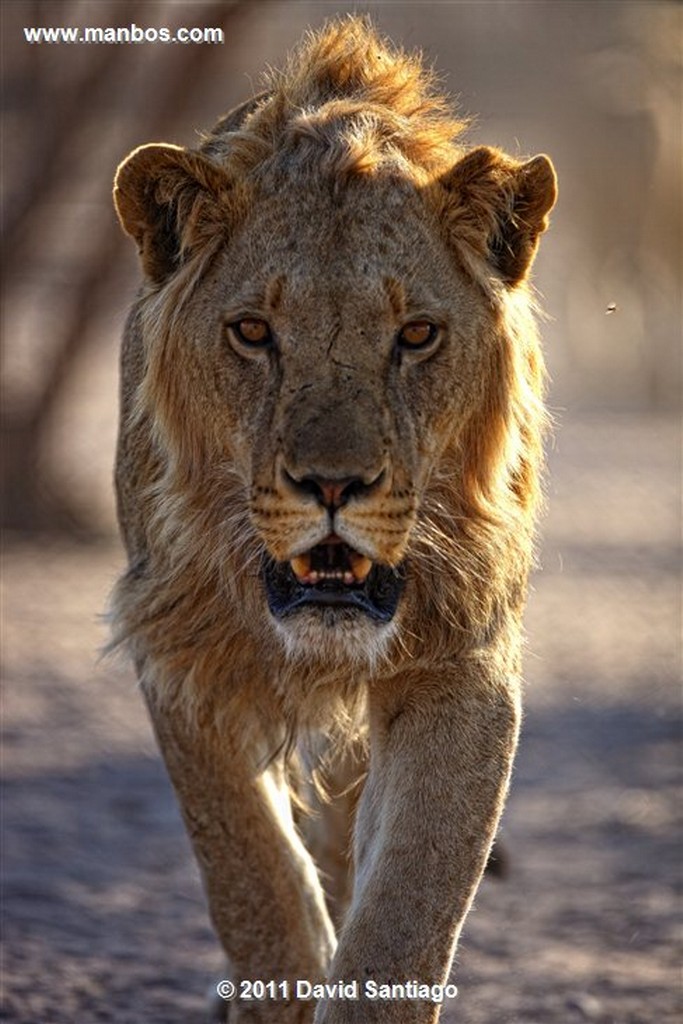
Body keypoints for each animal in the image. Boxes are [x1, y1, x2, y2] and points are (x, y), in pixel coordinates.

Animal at [112, 16, 557, 1024]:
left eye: (416, 335)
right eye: (251, 332)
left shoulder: (459, 661)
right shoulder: (180, 650)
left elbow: (407, 911)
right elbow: (251, 877)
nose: (331, 485)